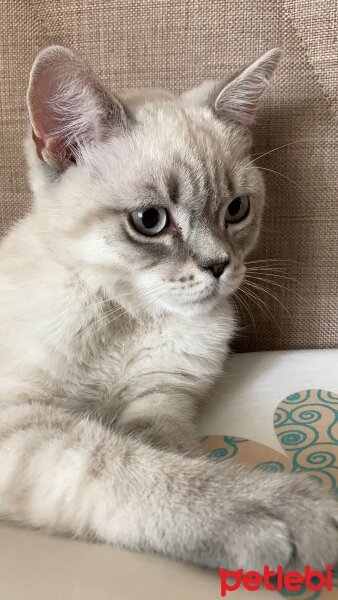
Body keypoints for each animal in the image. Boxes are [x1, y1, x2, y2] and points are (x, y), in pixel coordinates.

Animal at [0, 47, 336, 572]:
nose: (219, 266)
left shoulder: (163, 396)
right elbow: (125, 465)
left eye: (236, 210)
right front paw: (276, 511)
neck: (129, 315)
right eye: (150, 221)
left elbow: (160, 449)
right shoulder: (19, 421)